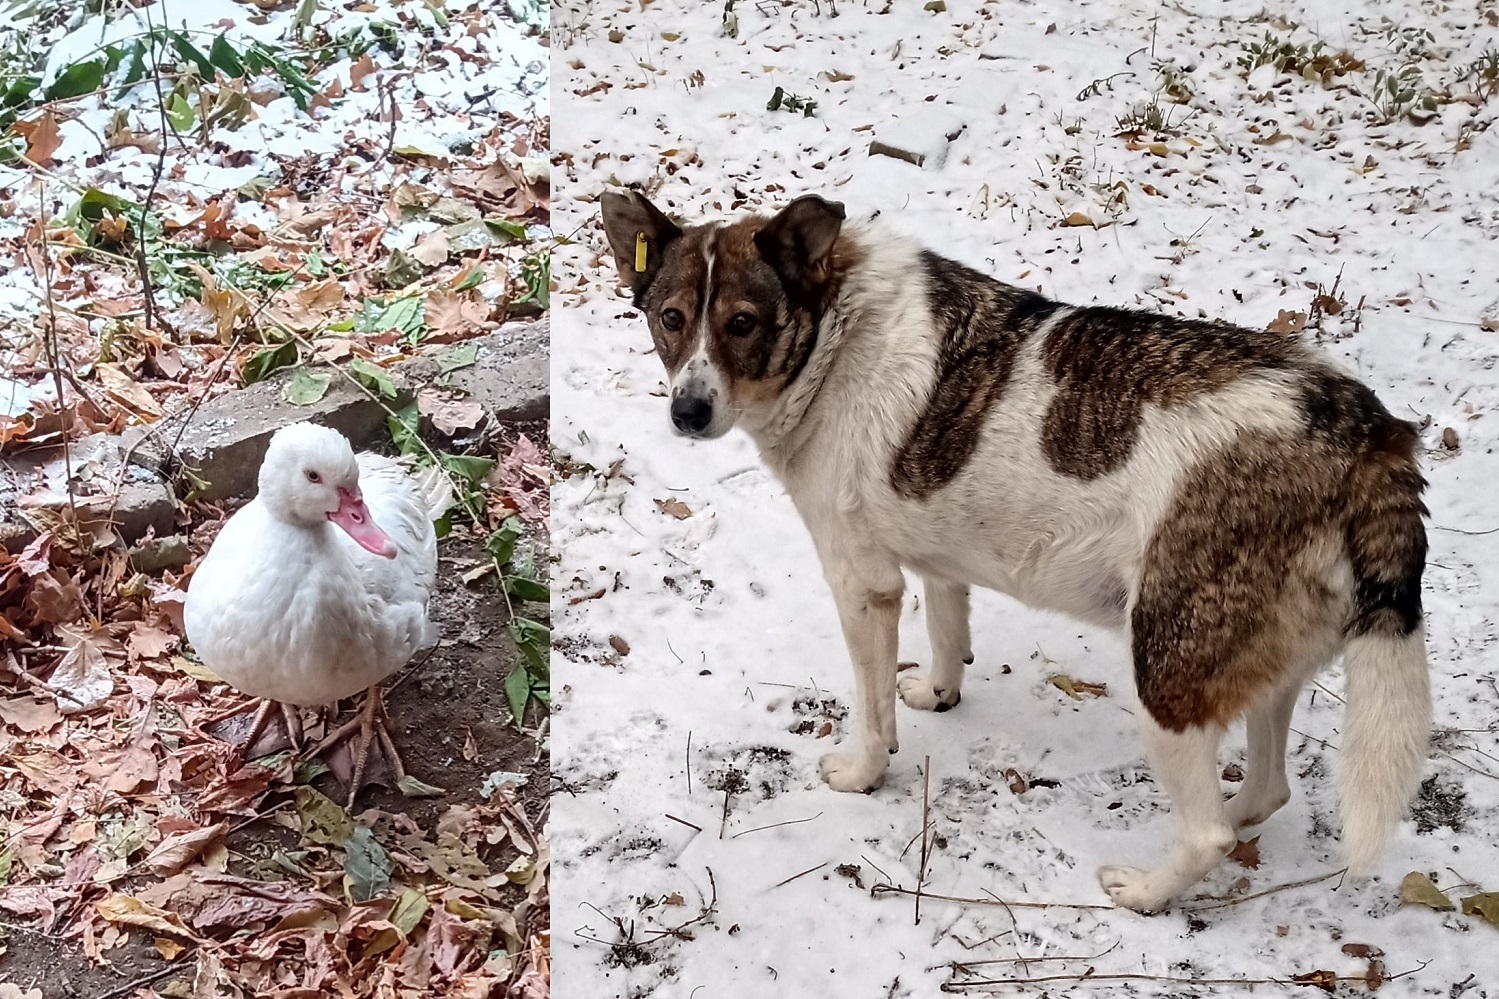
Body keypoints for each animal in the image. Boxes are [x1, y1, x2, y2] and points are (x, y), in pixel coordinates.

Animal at [593, 189, 1427, 912]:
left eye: (741, 323)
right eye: (670, 318)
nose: (687, 411)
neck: (834, 331)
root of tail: (1364, 430)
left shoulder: (862, 584)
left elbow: (870, 709)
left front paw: (863, 771)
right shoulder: (936, 557)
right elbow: (946, 628)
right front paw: (939, 692)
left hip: (1166, 667)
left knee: (1207, 833)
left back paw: (1145, 892)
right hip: (1253, 656)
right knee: (1265, 789)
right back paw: (1238, 808)